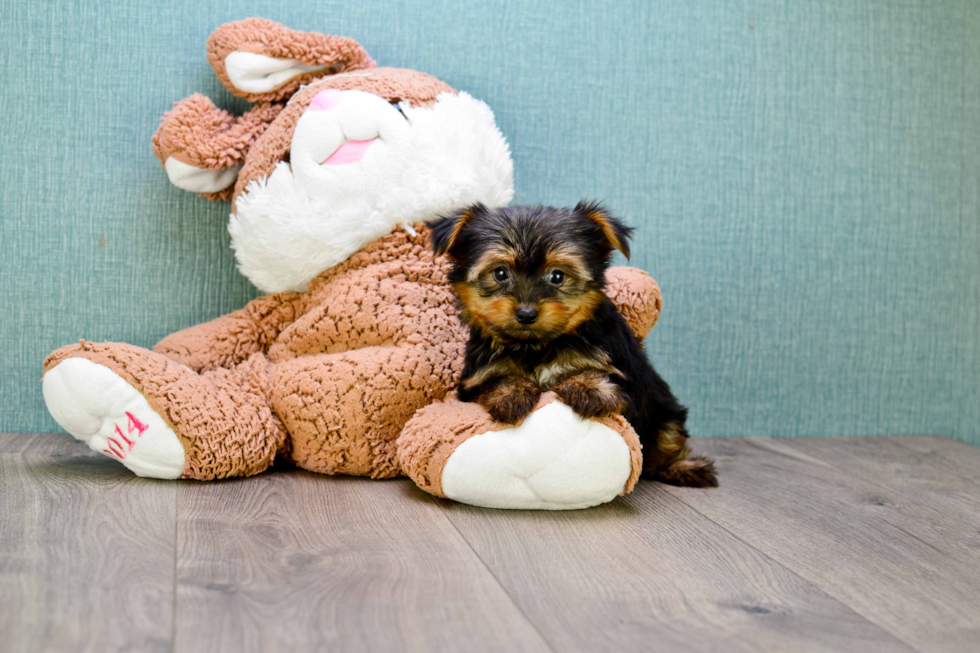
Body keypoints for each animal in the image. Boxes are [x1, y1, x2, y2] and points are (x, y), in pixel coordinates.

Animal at [432, 201, 716, 486]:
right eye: (500, 273)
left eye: (557, 276)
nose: (526, 314)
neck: (537, 346)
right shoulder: (474, 380)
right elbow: (493, 381)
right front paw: (510, 392)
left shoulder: (626, 377)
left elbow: (600, 377)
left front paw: (588, 387)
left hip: (664, 412)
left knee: (663, 444)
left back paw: (682, 467)